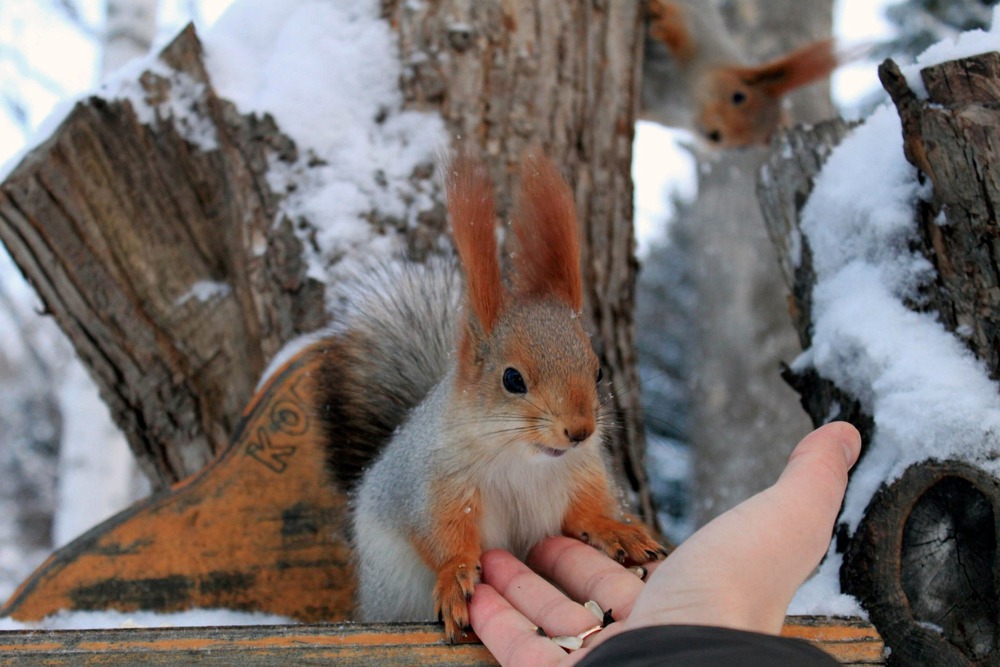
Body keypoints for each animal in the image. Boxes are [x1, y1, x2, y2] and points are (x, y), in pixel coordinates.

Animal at [304, 151, 664, 640]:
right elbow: (441, 535)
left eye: (598, 371)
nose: (580, 431)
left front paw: (616, 528)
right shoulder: (435, 484)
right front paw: (456, 576)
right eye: (512, 379)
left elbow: (585, 515)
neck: (521, 459)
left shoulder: (582, 474)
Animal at [644, 0, 848, 147]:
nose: (715, 135)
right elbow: (677, 23)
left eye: (742, 146)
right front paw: (660, 19)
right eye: (739, 96)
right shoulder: (699, 34)